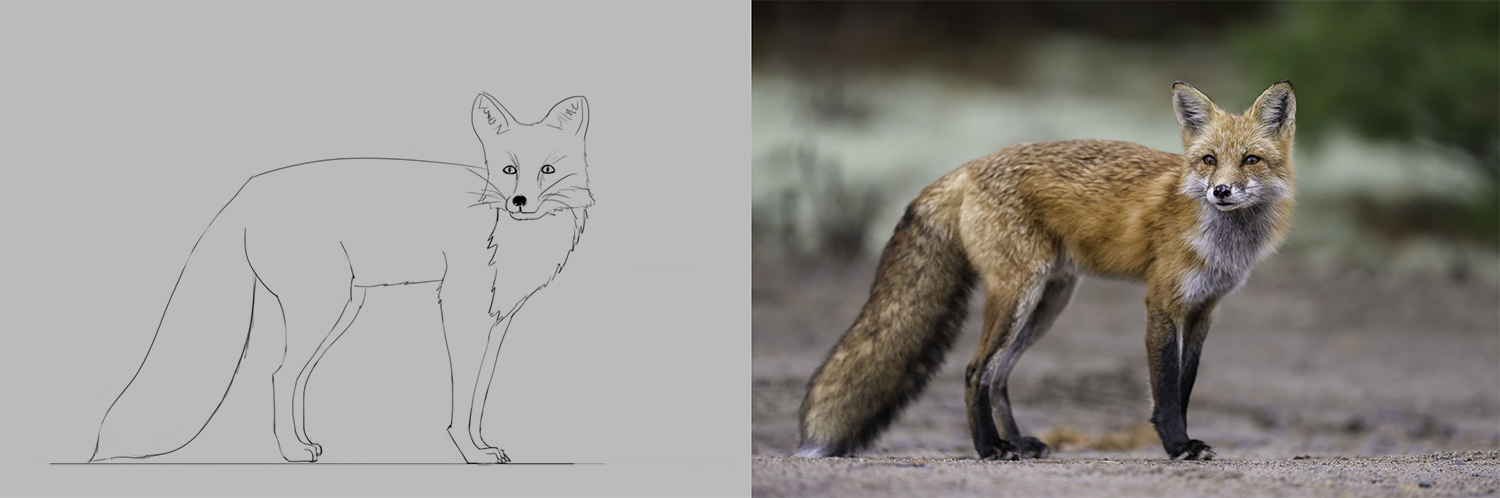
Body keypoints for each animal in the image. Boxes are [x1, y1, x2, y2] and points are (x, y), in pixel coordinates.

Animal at [90, 93, 593, 464]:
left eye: (546, 170)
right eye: (509, 170)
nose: (519, 202)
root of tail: (247, 189)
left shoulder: (497, 321)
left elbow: (480, 393)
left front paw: (484, 446)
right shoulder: (460, 311)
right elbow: (461, 395)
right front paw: (470, 453)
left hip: (341, 312)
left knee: (294, 378)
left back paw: (303, 444)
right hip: (323, 309)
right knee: (279, 373)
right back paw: (291, 453)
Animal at [794, 80, 1297, 461]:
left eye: (1250, 160)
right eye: (1208, 160)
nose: (1221, 191)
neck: (1222, 241)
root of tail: (967, 167)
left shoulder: (1203, 310)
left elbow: (1185, 387)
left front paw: (1184, 440)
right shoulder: (1162, 302)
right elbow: (1166, 392)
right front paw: (1177, 445)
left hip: (1048, 303)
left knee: (998, 376)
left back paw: (1015, 441)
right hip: (1018, 295)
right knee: (974, 371)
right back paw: (989, 448)